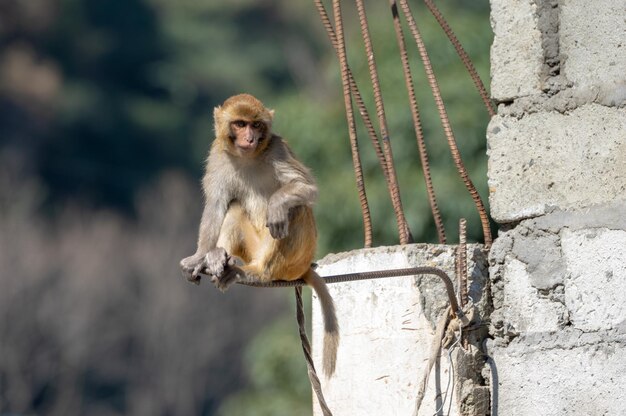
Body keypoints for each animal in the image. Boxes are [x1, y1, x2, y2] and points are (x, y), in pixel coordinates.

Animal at [178, 94, 338, 376]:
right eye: (240, 124)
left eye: (256, 125)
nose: (250, 138)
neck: (247, 157)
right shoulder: (218, 157)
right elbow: (216, 206)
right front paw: (200, 256)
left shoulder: (278, 149)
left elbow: (306, 187)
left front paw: (276, 204)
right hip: (252, 248)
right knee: (234, 206)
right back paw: (220, 259)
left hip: (291, 260)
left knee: (295, 210)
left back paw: (259, 272)